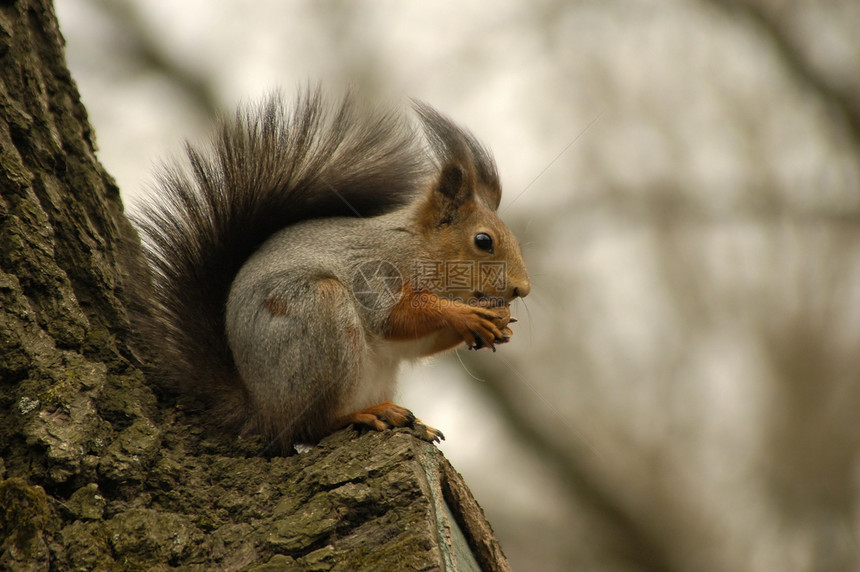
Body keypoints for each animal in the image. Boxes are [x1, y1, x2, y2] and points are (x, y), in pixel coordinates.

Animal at [134, 89, 532, 454]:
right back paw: (365, 414)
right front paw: (464, 314)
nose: (522, 289)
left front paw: (499, 322)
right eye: (483, 241)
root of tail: (262, 410)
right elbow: (394, 318)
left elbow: (417, 343)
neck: (419, 249)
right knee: (310, 427)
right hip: (318, 315)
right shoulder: (374, 271)